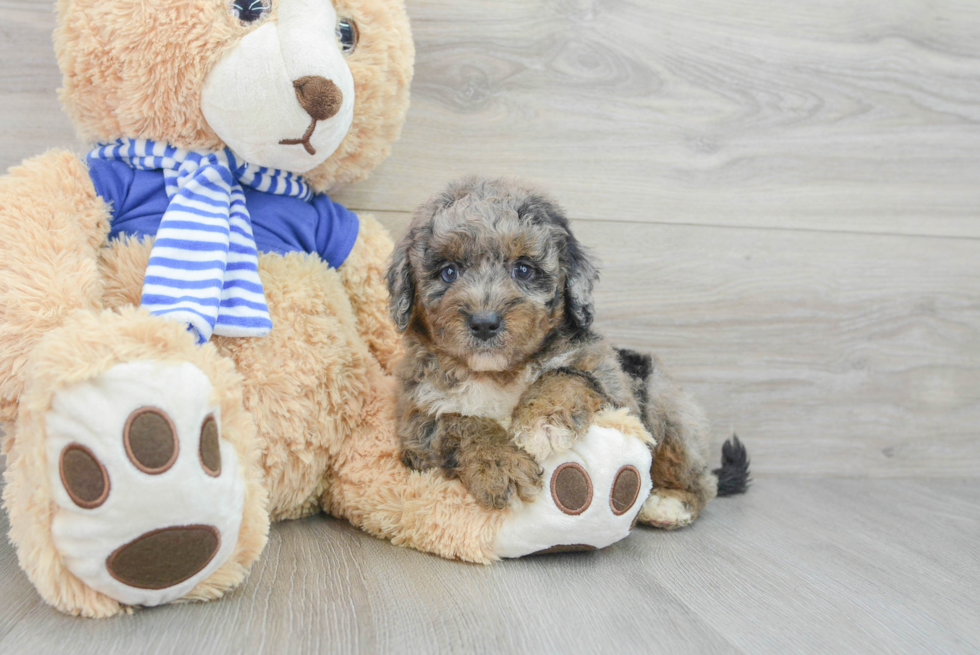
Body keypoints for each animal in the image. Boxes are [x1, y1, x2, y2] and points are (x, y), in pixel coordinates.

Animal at [384, 176, 752, 528]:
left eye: (523, 269)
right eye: (449, 271)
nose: (484, 322)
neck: (498, 372)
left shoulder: (615, 390)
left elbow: (567, 374)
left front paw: (541, 424)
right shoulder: (416, 422)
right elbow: (458, 423)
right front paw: (501, 464)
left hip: (667, 410)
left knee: (701, 480)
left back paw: (669, 503)